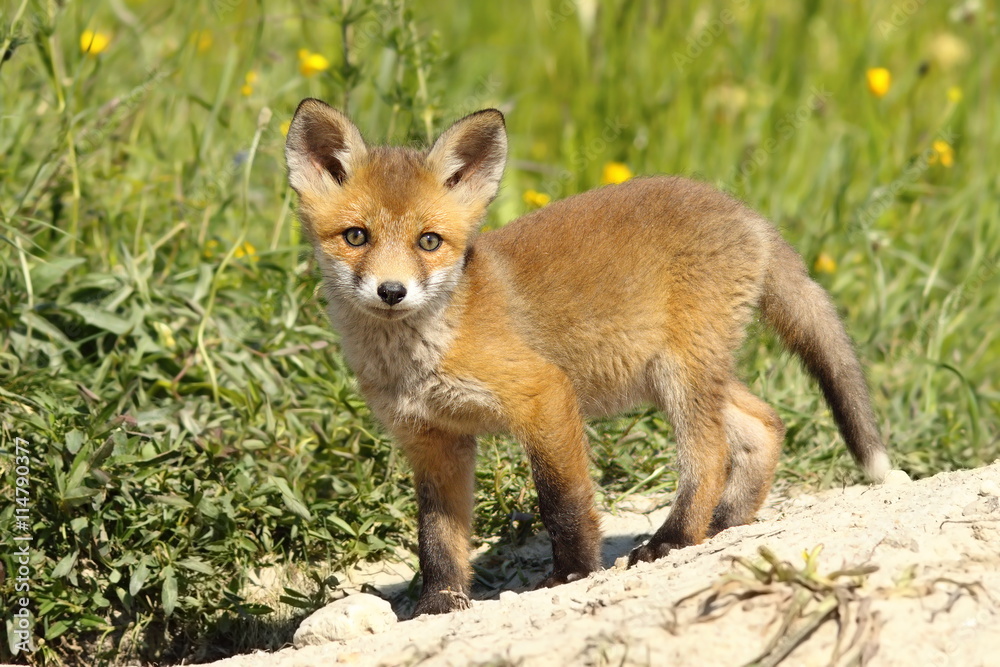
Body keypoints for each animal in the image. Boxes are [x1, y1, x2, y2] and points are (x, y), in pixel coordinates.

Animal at [284, 98, 892, 616]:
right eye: (356, 236)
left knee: (710, 455)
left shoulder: (544, 395)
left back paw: (674, 538)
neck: (421, 358)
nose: (392, 292)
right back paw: (724, 524)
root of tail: (747, 213)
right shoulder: (433, 441)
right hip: (676, 374)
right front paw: (439, 604)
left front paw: (573, 572)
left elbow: (563, 500)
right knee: (765, 423)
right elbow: (437, 538)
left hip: (678, 376)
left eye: (428, 242)